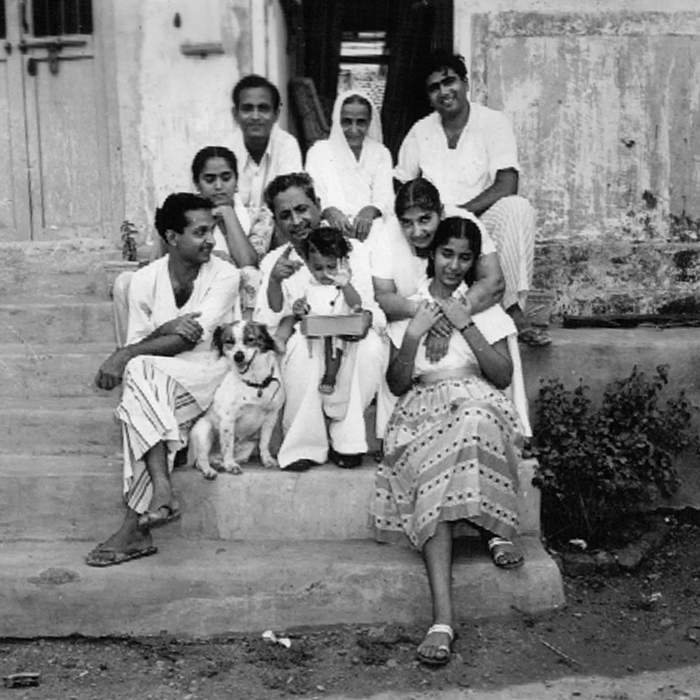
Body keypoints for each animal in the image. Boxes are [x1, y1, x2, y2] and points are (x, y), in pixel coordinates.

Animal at [189, 322, 284, 476]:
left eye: (250, 339)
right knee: (201, 460)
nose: (238, 356)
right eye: (229, 341)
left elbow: (264, 443)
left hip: (247, 447)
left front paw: (267, 459)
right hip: (204, 430)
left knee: (218, 458)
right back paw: (210, 470)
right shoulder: (228, 419)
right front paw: (231, 465)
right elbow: (228, 446)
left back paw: (219, 464)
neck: (255, 383)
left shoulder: (271, 417)